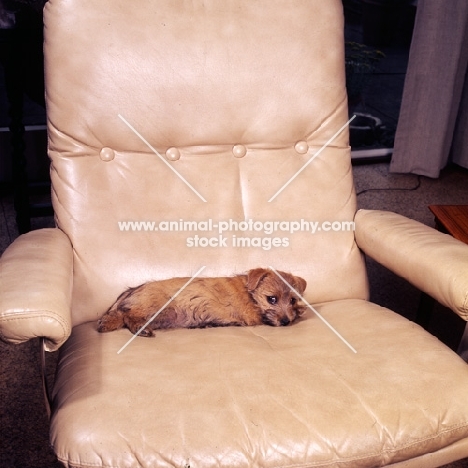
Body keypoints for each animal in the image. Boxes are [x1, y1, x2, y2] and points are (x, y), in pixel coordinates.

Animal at [97, 266, 308, 336]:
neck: (250, 291)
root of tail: (131, 291)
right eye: (271, 299)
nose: (286, 322)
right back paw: (141, 329)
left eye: (292, 300)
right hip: (154, 305)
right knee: (128, 315)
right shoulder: (252, 315)